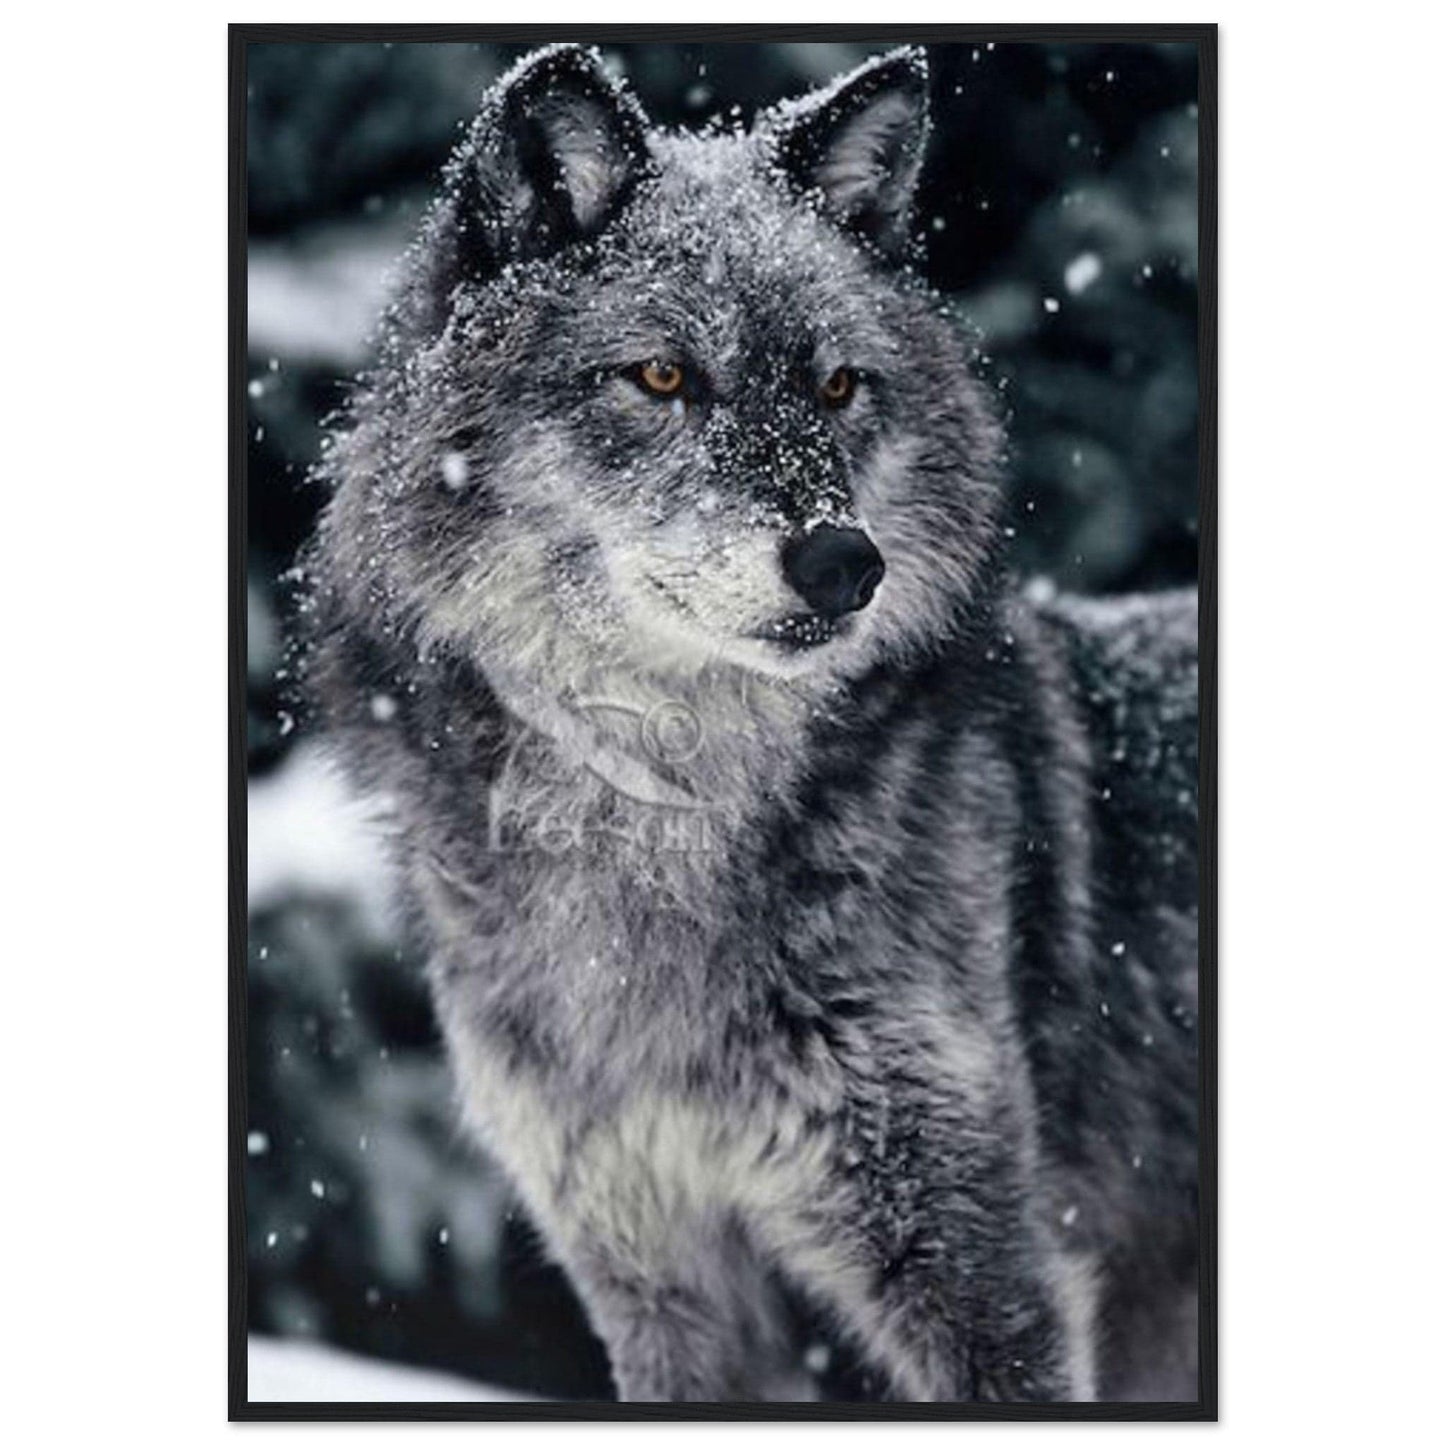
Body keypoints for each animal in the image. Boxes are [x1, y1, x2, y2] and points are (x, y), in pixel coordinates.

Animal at [303, 44, 1200, 1403]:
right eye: (664, 375)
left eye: (837, 385)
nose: (844, 564)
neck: (656, 820)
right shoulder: (659, 1286)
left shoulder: (990, 1280)